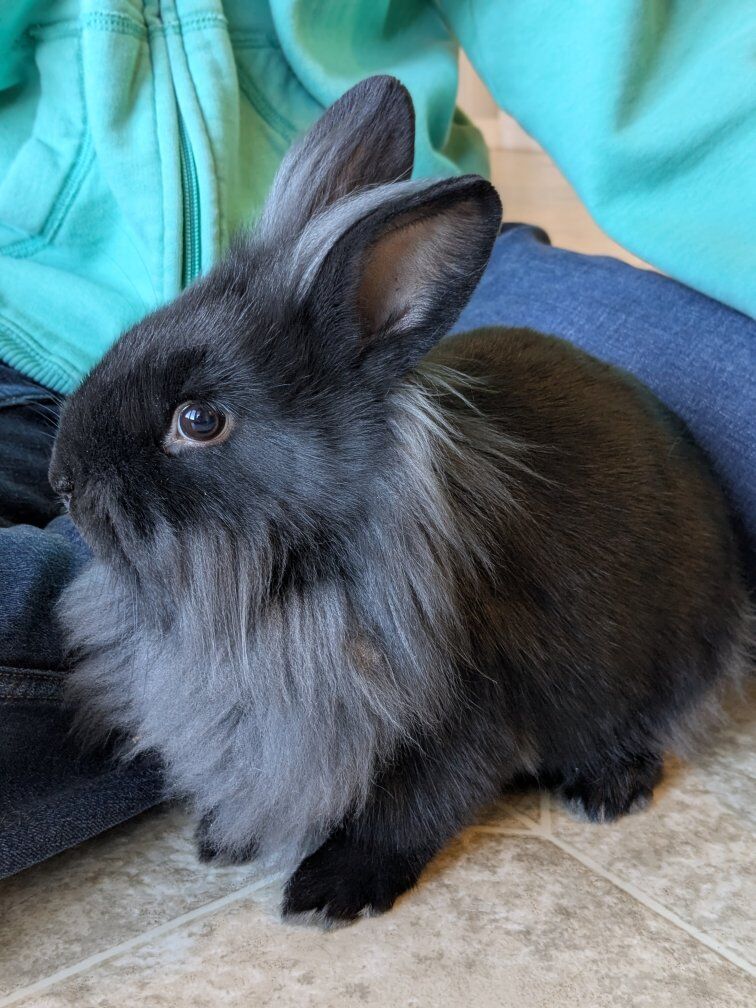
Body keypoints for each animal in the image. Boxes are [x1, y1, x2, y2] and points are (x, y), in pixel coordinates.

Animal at [49, 75, 752, 927]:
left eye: (199, 421)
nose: (62, 477)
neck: (278, 585)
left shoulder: (459, 719)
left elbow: (406, 812)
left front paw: (328, 895)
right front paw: (221, 841)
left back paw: (608, 790)